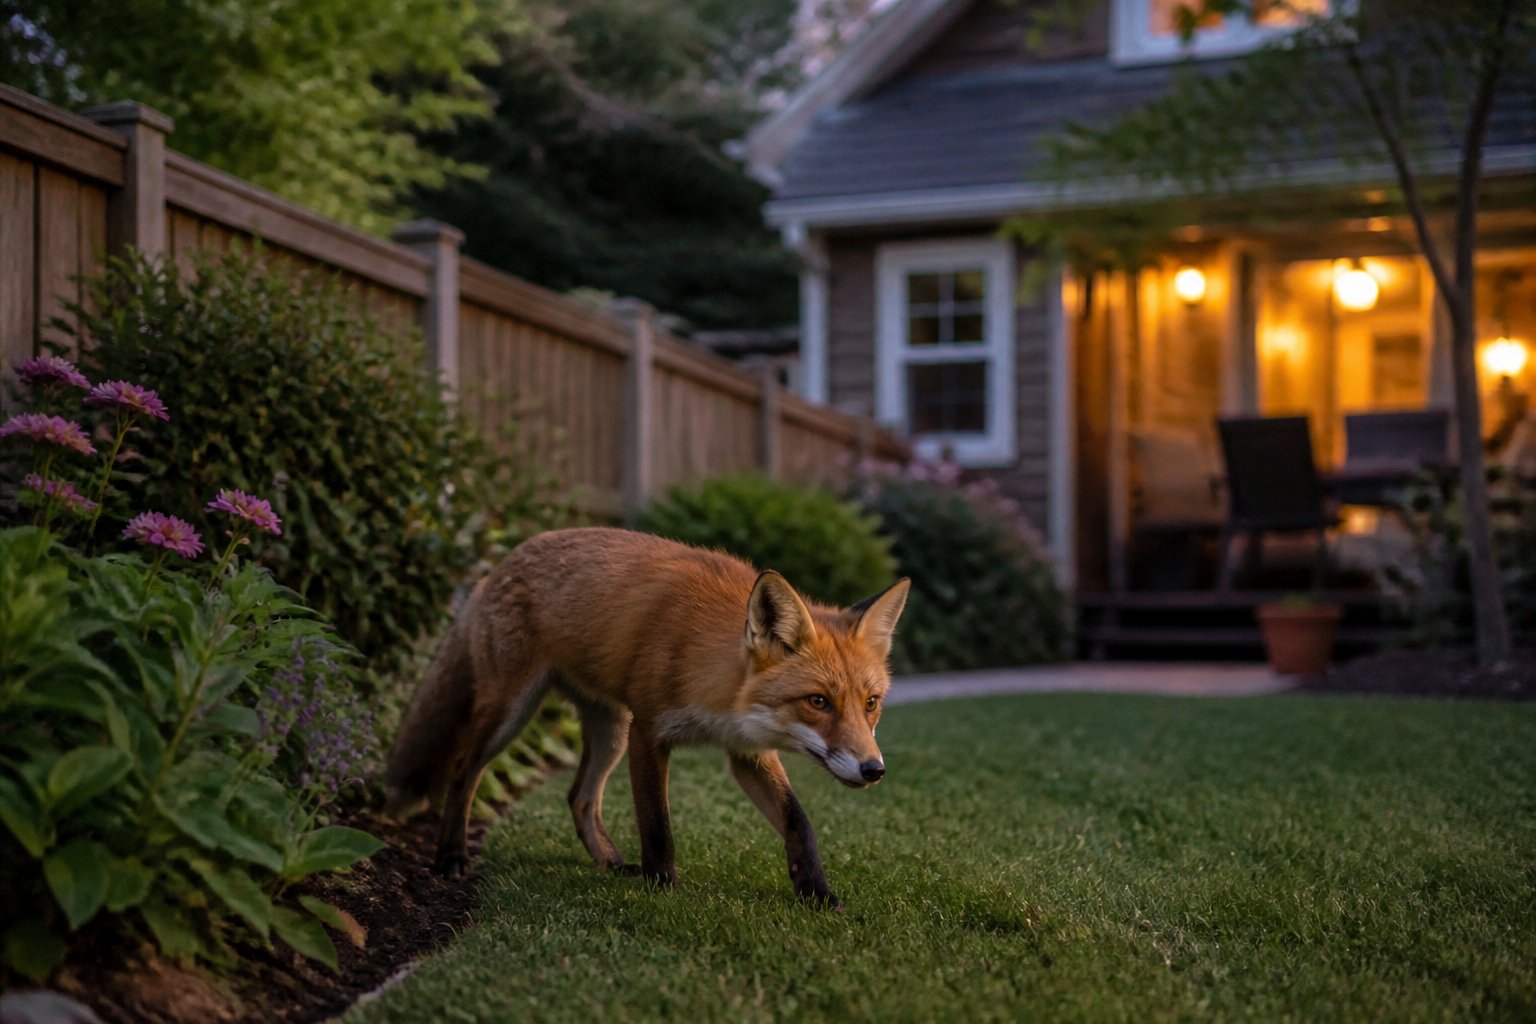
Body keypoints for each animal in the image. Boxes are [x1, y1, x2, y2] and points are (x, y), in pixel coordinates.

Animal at [384, 526, 910, 907]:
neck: (709, 671)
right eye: (818, 702)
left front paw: (815, 893)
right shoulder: (649, 732)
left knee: (579, 797)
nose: (874, 769)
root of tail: (501, 562)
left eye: (871, 703)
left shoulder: (747, 750)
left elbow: (799, 822)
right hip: (513, 713)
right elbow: (657, 822)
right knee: (463, 771)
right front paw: (662, 887)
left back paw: (611, 864)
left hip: (609, 728)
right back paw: (451, 855)